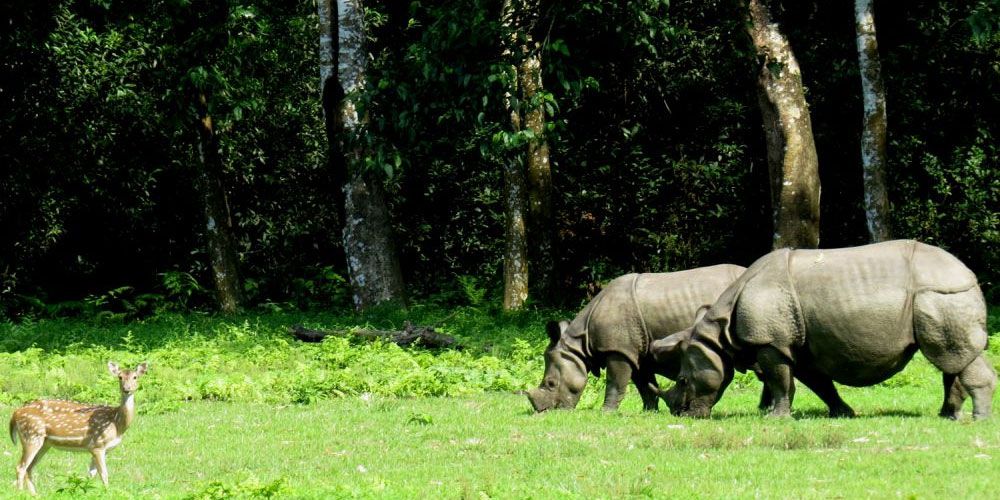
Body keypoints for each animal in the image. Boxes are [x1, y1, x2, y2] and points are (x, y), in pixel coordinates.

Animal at [8, 362, 147, 494]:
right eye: (120, 377)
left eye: (135, 377)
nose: (127, 389)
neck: (117, 423)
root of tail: (15, 413)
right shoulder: (97, 445)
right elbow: (104, 474)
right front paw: (107, 493)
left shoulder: (99, 449)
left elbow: (90, 475)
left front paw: (86, 492)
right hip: (31, 435)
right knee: (21, 467)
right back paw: (20, 493)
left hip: (44, 443)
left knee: (29, 468)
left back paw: (34, 494)